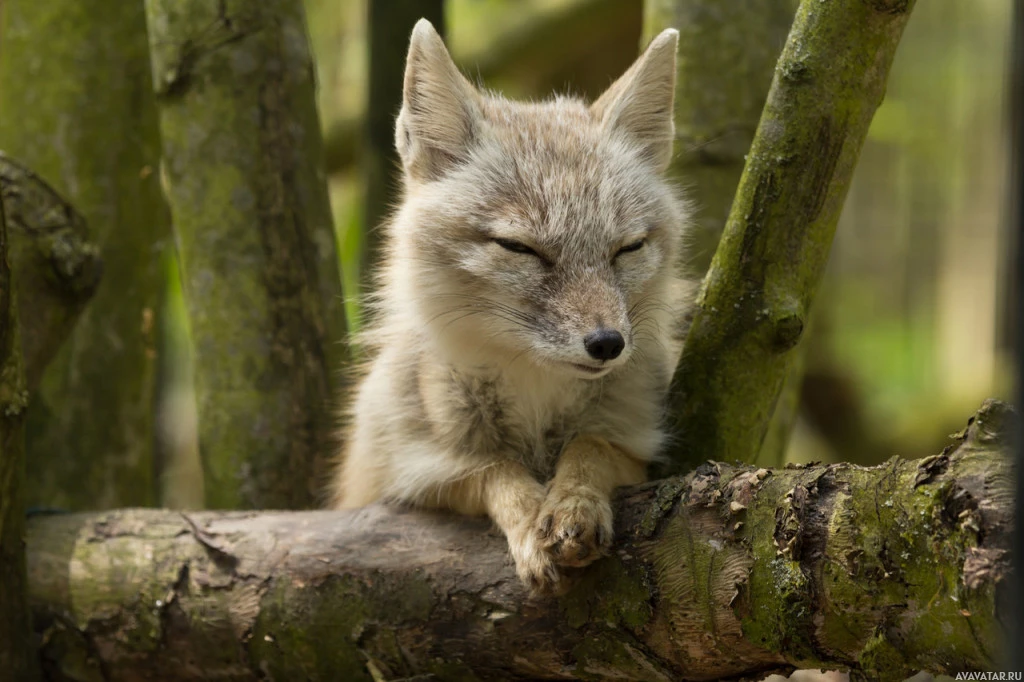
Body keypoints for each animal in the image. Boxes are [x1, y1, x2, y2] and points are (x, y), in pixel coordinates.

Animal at [329, 14, 696, 589]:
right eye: (520, 248)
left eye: (627, 248)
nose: (608, 344)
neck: (535, 390)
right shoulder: (404, 477)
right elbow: (492, 467)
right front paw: (528, 520)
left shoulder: (637, 443)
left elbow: (591, 446)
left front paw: (574, 502)